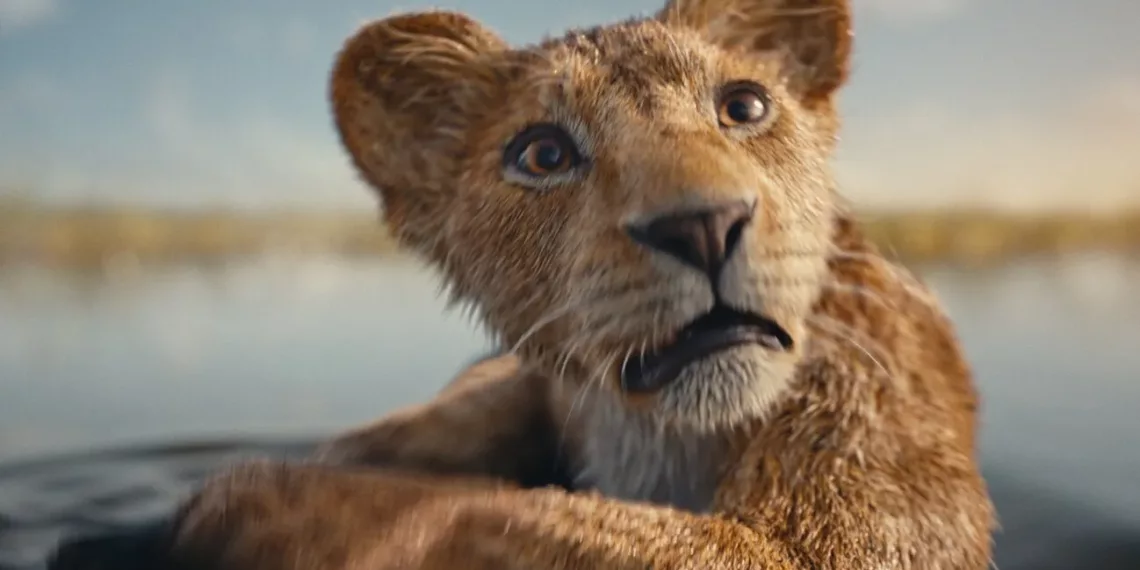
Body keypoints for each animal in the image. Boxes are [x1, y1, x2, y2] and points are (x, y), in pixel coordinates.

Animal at [48, 0, 996, 568]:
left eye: (745, 107)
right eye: (542, 153)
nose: (703, 225)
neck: (656, 435)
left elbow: (482, 514)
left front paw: (254, 504)